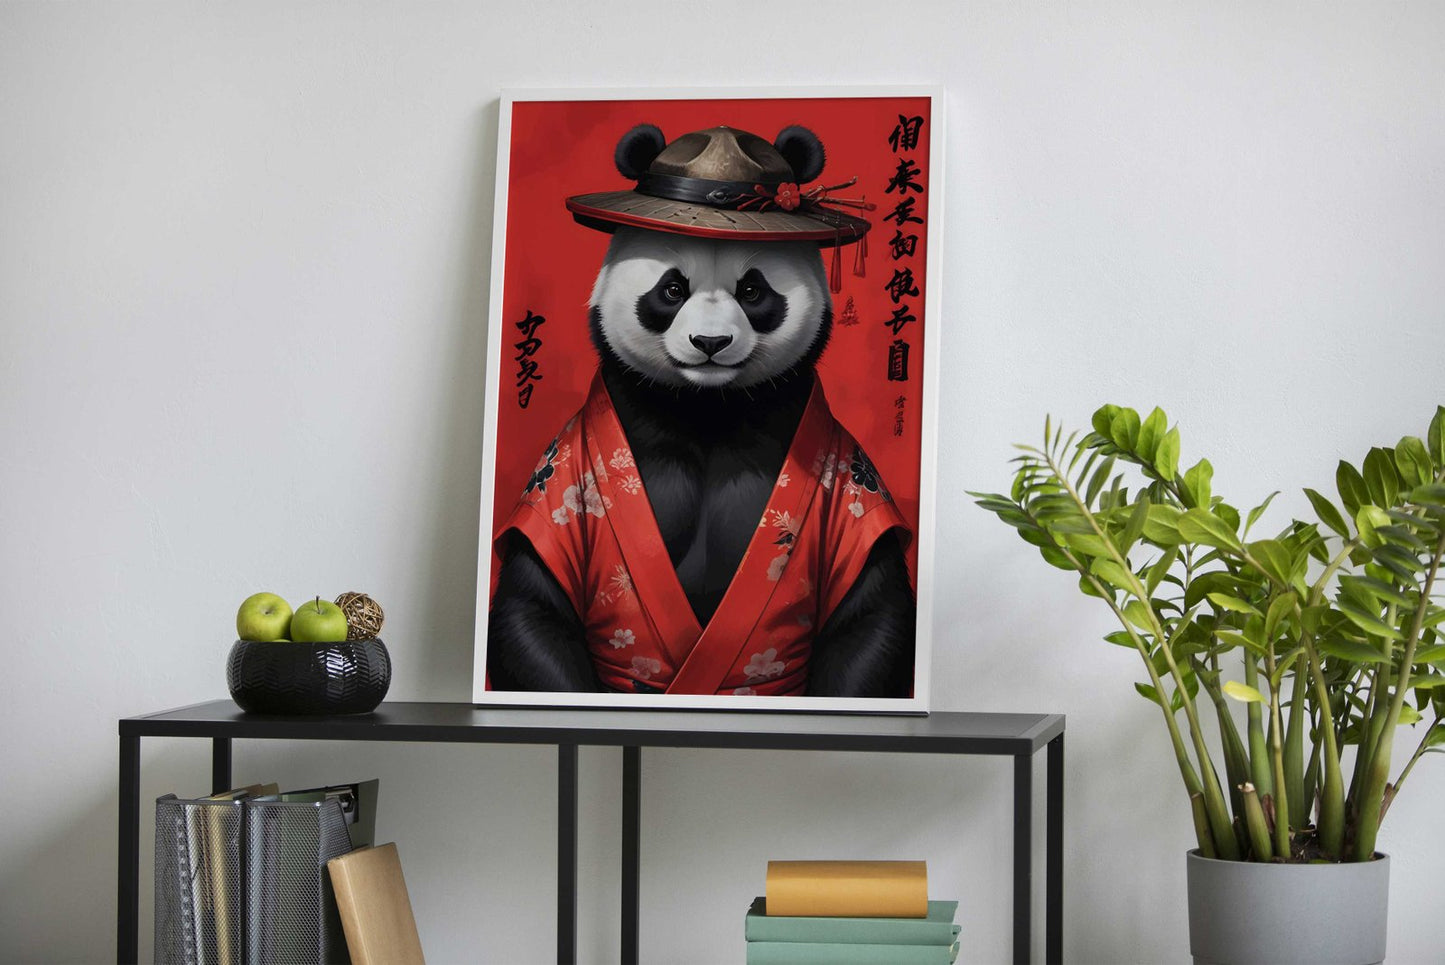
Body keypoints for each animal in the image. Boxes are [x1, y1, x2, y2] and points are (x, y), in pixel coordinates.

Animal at [487, 125, 915, 698]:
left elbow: (868, 619)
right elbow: (533, 610)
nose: (710, 343)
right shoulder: (564, 482)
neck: (707, 407)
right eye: (672, 289)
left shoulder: (848, 481)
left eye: (753, 290)